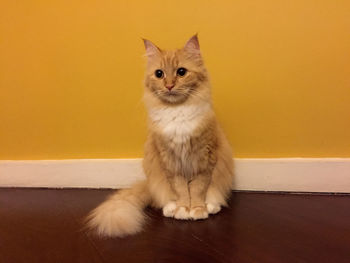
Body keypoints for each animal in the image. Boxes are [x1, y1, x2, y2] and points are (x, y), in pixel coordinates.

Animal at [86, 34, 234, 238]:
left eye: (181, 72)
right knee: (163, 198)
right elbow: (181, 190)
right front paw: (183, 209)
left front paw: (197, 209)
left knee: (212, 194)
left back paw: (211, 206)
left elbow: (197, 189)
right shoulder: (170, 161)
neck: (177, 112)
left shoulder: (204, 159)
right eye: (159, 74)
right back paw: (171, 208)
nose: (169, 85)